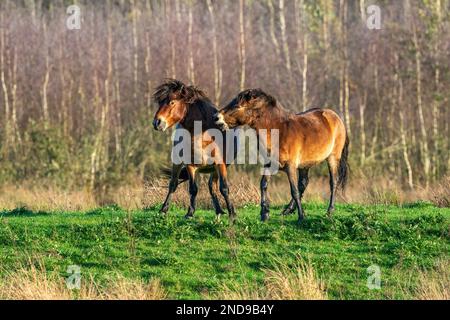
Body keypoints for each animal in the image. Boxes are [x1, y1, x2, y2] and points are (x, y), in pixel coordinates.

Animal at [152, 79, 236, 221]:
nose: (157, 123)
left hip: (214, 169)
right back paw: (164, 210)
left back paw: (219, 210)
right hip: (178, 163)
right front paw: (190, 213)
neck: (203, 136)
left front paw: (232, 214)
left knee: (212, 187)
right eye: (160, 102)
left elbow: (224, 188)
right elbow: (193, 189)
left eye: (172, 102)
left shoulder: (220, 164)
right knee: (173, 184)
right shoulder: (190, 165)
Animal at [216, 87, 350, 222]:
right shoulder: (269, 165)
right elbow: (263, 185)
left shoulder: (290, 167)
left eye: (237, 106)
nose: (217, 118)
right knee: (303, 183)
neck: (279, 131)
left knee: (333, 182)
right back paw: (288, 210)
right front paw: (264, 213)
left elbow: (294, 190)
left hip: (333, 158)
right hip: (305, 165)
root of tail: (337, 118)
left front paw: (301, 216)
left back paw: (329, 211)